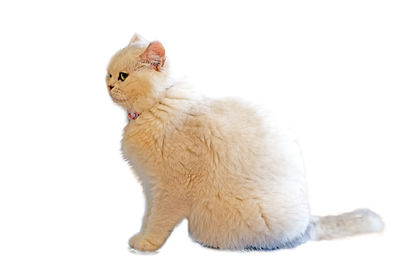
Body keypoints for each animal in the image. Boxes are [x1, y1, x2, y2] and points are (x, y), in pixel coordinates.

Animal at [106, 33, 384, 251]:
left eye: (123, 76)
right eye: (109, 74)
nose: (108, 85)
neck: (157, 107)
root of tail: (307, 223)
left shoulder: (169, 190)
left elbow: (157, 221)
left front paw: (146, 244)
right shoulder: (151, 188)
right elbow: (147, 217)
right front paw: (140, 238)